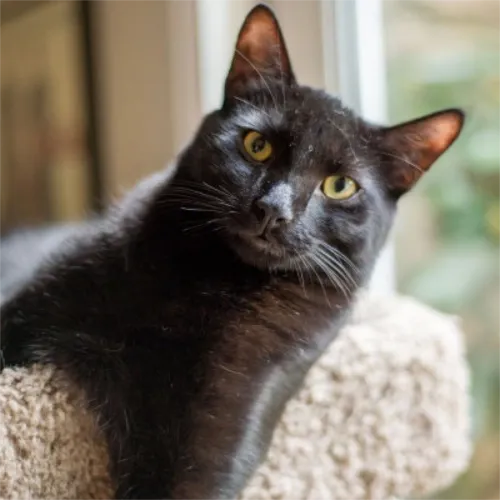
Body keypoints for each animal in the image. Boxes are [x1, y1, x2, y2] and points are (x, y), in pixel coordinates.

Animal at [0, 3, 464, 500]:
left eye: (340, 186)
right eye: (256, 146)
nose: (274, 210)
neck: (209, 283)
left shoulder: (230, 410)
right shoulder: (34, 307)